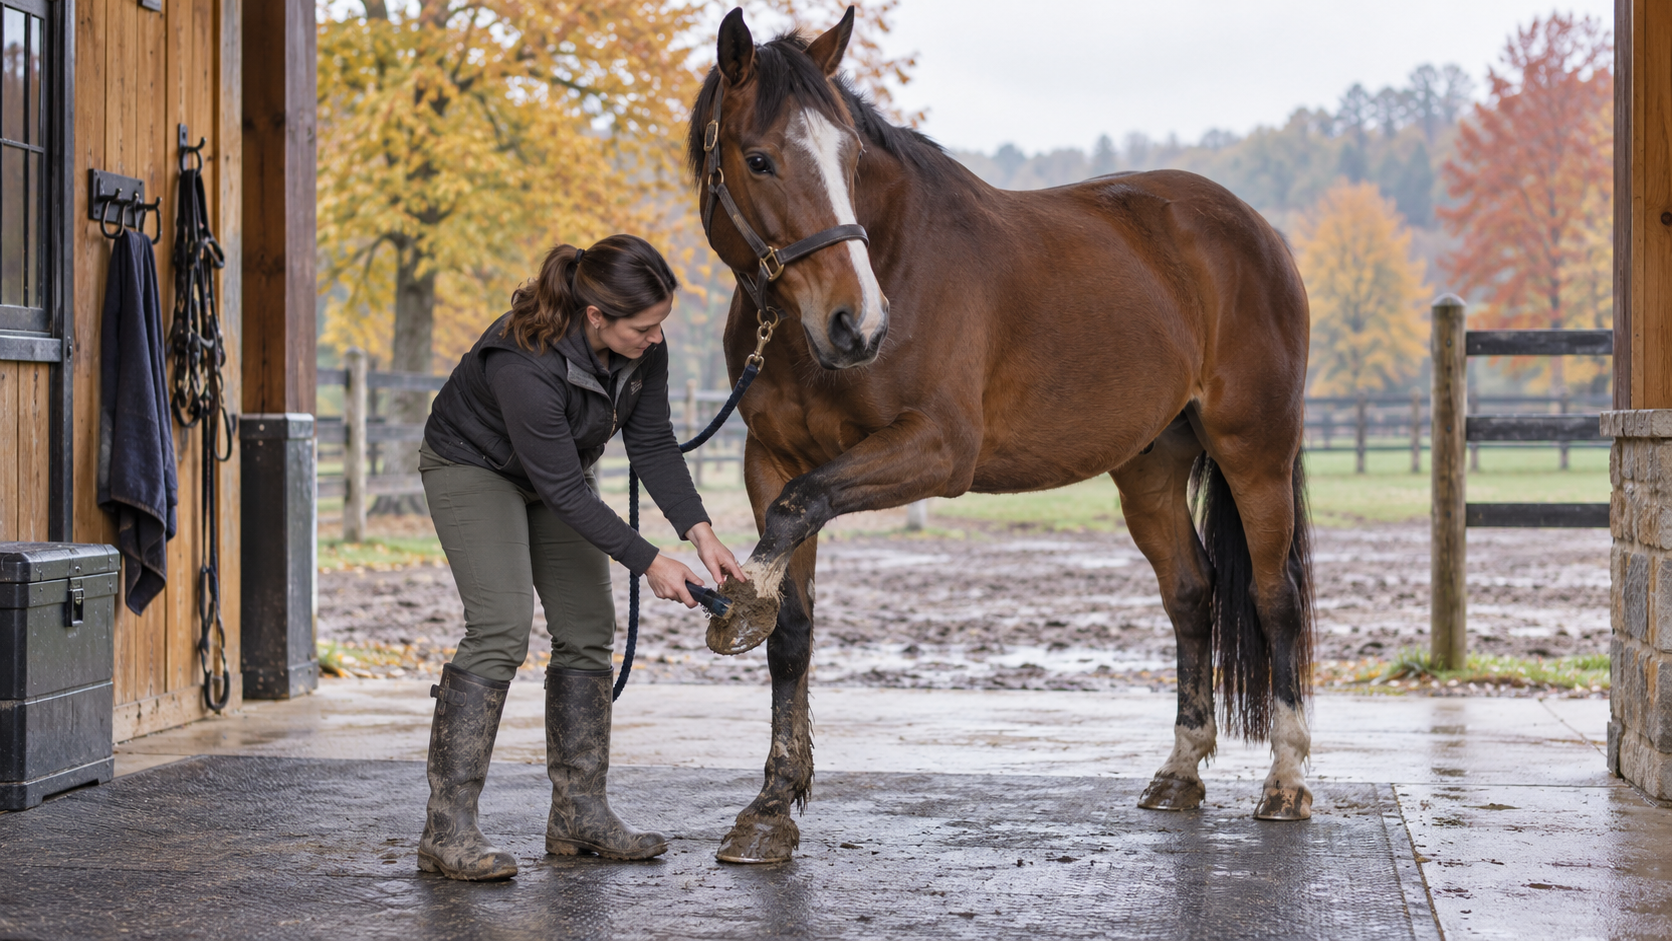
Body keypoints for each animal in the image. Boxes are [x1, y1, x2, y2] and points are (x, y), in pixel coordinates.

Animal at [686, 7, 1315, 864]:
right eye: (759, 159)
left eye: (850, 157)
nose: (859, 324)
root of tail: (1260, 233)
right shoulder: (770, 457)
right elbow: (793, 624)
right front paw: (772, 804)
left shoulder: (936, 450)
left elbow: (796, 510)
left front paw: (739, 604)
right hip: (1149, 468)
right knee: (1191, 592)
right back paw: (1180, 771)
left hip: (1257, 453)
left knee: (1273, 596)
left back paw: (1285, 781)